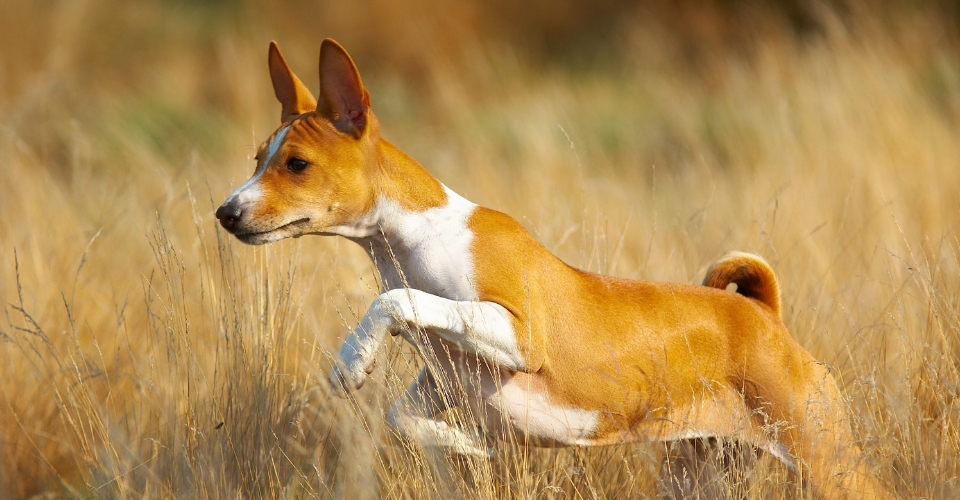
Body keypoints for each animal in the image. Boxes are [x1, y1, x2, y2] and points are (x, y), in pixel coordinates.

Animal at [218, 39, 892, 500]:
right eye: (257, 159)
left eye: (297, 165)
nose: (226, 212)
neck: (415, 243)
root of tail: (763, 314)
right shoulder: (443, 383)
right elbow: (404, 419)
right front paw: (472, 447)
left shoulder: (519, 333)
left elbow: (397, 303)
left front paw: (352, 358)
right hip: (701, 470)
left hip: (826, 460)